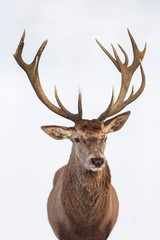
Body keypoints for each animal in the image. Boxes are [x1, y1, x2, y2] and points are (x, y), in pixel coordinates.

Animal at [13, 30, 146, 240]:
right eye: (76, 138)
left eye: (105, 137)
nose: (97, 160)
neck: (84, 228)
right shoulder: (62, 232)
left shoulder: (104, 232)